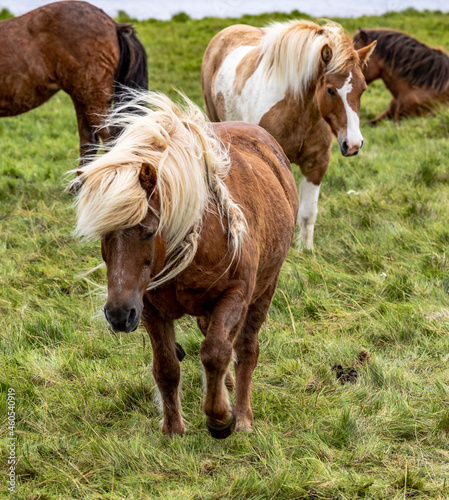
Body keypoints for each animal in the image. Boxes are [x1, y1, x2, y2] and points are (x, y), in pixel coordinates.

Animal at [72, 92, 300, 440]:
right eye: (103, 234)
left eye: (149, 230)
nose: (118, 315)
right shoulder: (149, 308)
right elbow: (166, 366)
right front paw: (173, 429)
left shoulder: (236, 295)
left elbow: (216, 351)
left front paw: (220, 419)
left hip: (264, 291)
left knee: (246, 349)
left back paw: (243, 415)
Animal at [200, 19, 374, 250]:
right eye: (330, 90)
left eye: (363, 89)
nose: (353, 144)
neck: (298, 112)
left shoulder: (317, 165)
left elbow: (308, 213)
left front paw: (306, 250)